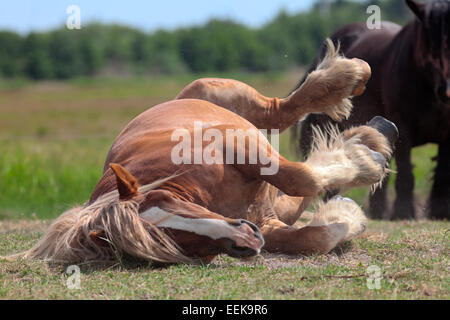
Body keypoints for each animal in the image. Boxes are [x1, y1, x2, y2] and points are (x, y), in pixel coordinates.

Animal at [294, 0, 448, 220]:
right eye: (429, 42)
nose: (446, 89)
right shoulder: (403, 127)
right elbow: (406, 174)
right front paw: (403, 213)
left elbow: (441, 173)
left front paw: (439, 213)